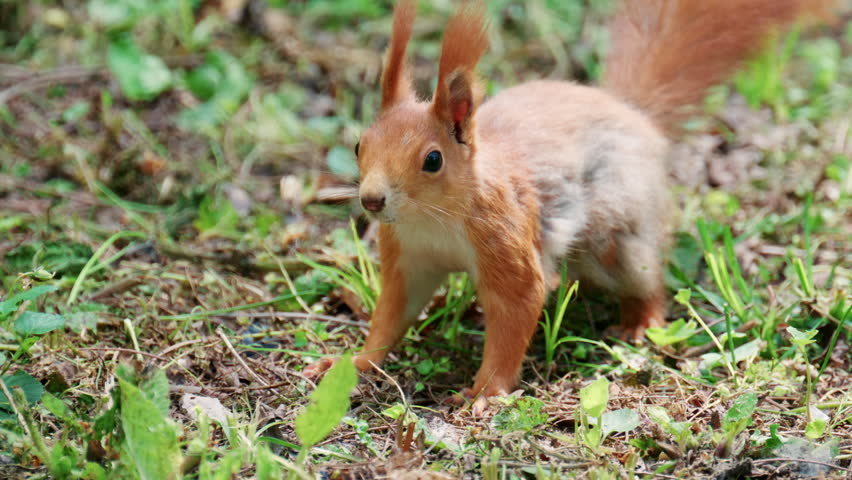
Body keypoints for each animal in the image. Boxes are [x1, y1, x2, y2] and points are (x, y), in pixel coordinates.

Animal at [305, 0, 830, 413]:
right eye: (359, 144)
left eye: (432, 160)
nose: (372, 199)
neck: (433, 219)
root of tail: (634, 115)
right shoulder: (407, 256)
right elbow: (392, 314)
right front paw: (352, 361)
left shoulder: (505, 240)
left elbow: (517, 308)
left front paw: (484, 393)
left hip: (619, 237)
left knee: (647, 278)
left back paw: (641, 322)